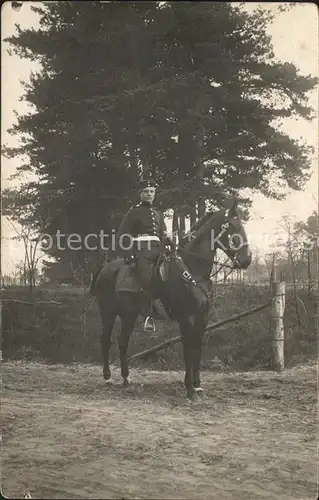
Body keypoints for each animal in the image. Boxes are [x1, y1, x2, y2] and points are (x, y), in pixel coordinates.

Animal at [90, 201, 252, 400]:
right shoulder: (186, 318)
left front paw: (197, 385)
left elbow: (197, 349)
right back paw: (107, 377)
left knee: (122, 341)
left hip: (128, 314)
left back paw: (126, 378)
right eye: (233, 228)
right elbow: (188, 350)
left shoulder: (202, 318)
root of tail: (105, 267)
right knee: (106, 339)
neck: (193, 271)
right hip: (108, 311)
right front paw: (190, 390)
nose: (246, 260)